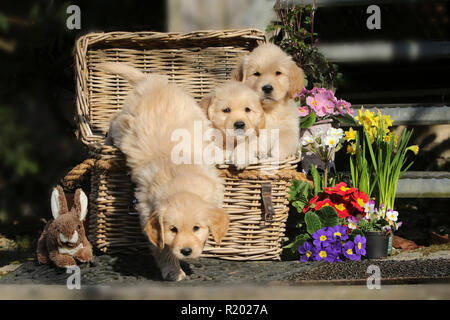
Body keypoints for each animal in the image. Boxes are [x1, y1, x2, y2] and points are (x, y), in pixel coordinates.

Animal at [100, 62, 230, 280]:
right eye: (173, 229)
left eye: (196, 228)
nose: (186, 251)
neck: (180, 176)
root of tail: (153, 82)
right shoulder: (147, 214)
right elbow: (162, 249)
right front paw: (173, 270)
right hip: (124, 124)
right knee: (113, 119)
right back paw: (106, 140)